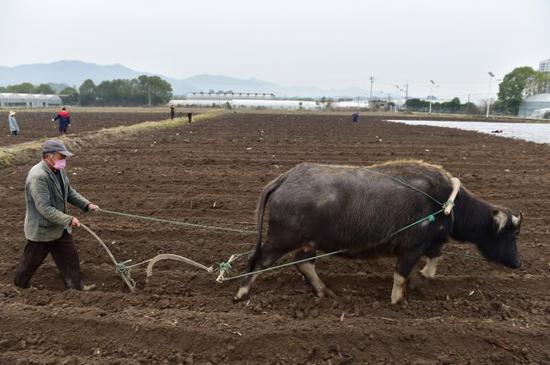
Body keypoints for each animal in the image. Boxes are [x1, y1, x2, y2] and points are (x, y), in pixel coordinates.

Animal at [235, 159, 524, 302]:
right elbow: (401, 274)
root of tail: (285, 178)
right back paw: (242, 292)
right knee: (259, 260)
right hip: (281, 238)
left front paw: (423, 279)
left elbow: (434, 261)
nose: (518, 263)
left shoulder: (432, 243)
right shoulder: (412, 247)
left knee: (303, 263)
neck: (446, 203)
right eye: (510, 233)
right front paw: (398, 300)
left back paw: (324, 292)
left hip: (309, 242)